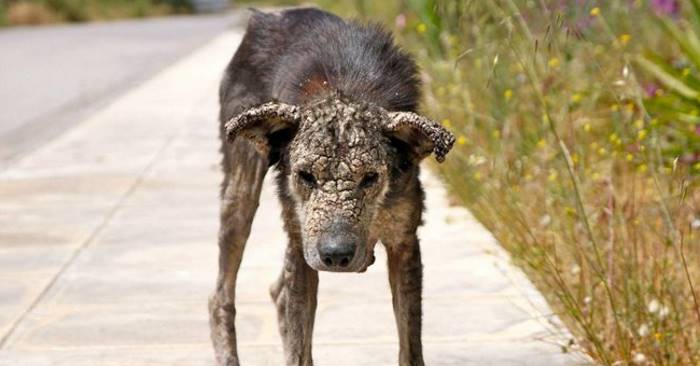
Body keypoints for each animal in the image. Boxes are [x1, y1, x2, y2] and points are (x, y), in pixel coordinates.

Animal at [209, 7, 454, 364]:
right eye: (305, 175)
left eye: (370, 177)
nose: (336, 255)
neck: (345, 90)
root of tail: (266, 16)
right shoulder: (301, 243)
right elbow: (299, 347)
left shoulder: (404, 242)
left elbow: (410, 347)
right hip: (241, 191)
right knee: (221, 298)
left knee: (277, 293)